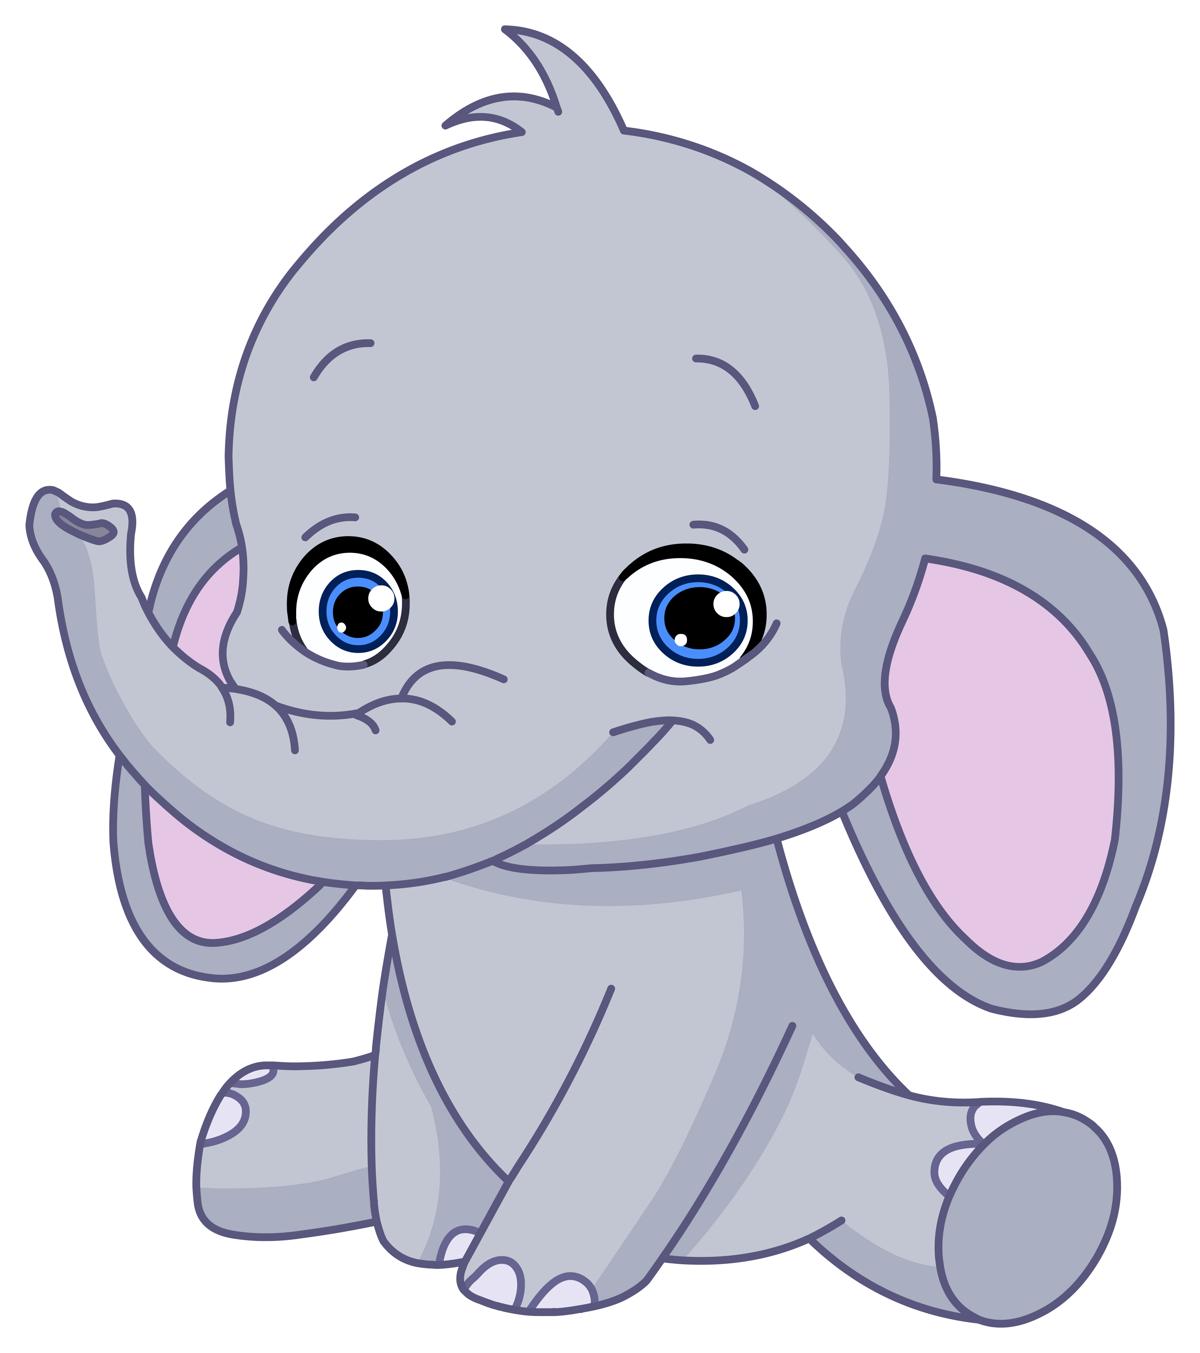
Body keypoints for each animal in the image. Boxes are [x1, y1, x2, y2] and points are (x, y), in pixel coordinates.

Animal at [26, 26, 1172, 1324]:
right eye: (350, 608)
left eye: (699, 618)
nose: (80, 518)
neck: (556, 895)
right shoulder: (410, 990)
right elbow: (408, 1084)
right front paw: (427, 1246)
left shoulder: (711, 987)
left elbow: (648, 1094)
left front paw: (524, 1286)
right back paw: (244, 1119)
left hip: (834, 1134)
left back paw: (1001, 1176)